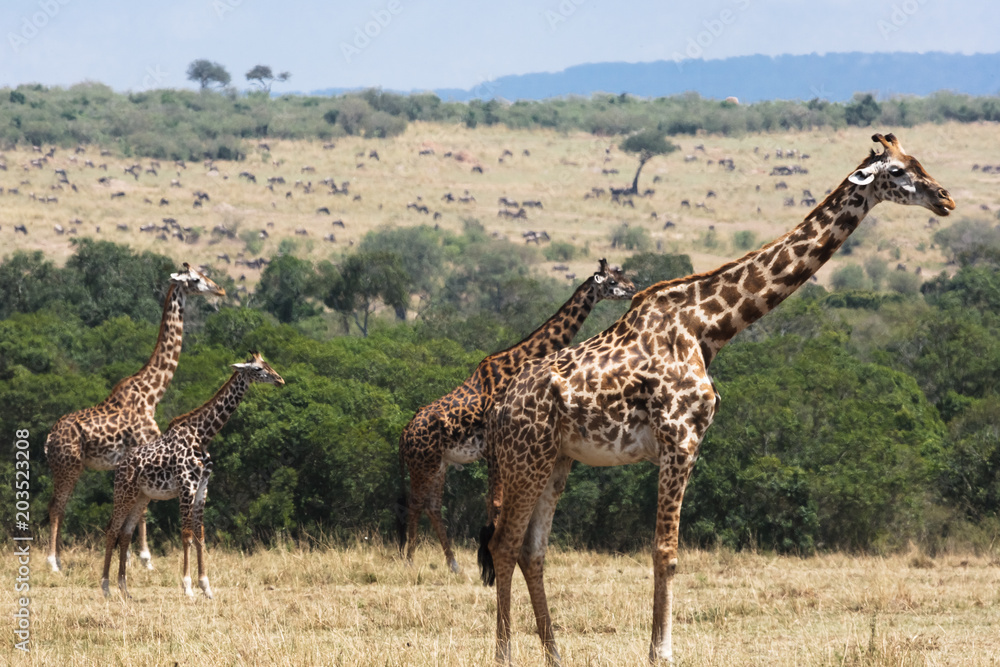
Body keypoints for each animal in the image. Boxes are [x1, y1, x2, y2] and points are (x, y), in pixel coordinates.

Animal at [45, 264, 225, 573]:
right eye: (196, 280)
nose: (220, 290)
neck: (153, 393)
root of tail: (48, 439)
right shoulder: (143, 450)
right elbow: (142, 510)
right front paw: (143, 558)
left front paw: (130, 556)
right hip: (69, 466)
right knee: (57, 506)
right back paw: (53, 563)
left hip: (67, 467)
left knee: (58, 506)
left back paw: (59, 560)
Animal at [101, 351, 284, 599]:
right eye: (257, 369)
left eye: (267, 364)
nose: (280, 380)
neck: (203, 435)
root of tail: (120, 466)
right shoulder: (186, 486)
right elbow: (187, 535)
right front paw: (187, 587)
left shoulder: (202, 488)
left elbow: (200, 535)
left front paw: (206, 587)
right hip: (124, 493)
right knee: (112, 531)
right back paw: (105, 587)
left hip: (141, 497)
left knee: (125, 534)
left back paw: (124, 588)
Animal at [398, 259, 636, 573]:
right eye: (611, 281)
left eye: (622, 276)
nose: (633, 288)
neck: (517, 360)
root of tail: (404, 434)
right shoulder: (495, 445)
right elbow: (495, 502)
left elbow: (495, 502)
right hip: (422, 463)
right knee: (415, 502)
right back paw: (410, 559)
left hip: (439, 464)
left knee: (432, 506)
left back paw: (453, 563)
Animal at [479, 134, 955, 665]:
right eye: (896, 172)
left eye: (917, 161)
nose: (945, 199)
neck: (710, 326)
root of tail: (496, 409)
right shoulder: (679, 439)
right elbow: (666, 552)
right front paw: (661, 652)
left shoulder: (681, 444)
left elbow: (663, 551)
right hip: (527, 457)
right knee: (504, 544)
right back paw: (504, 653)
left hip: (556, 460)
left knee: (531, 550)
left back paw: (555, 653)